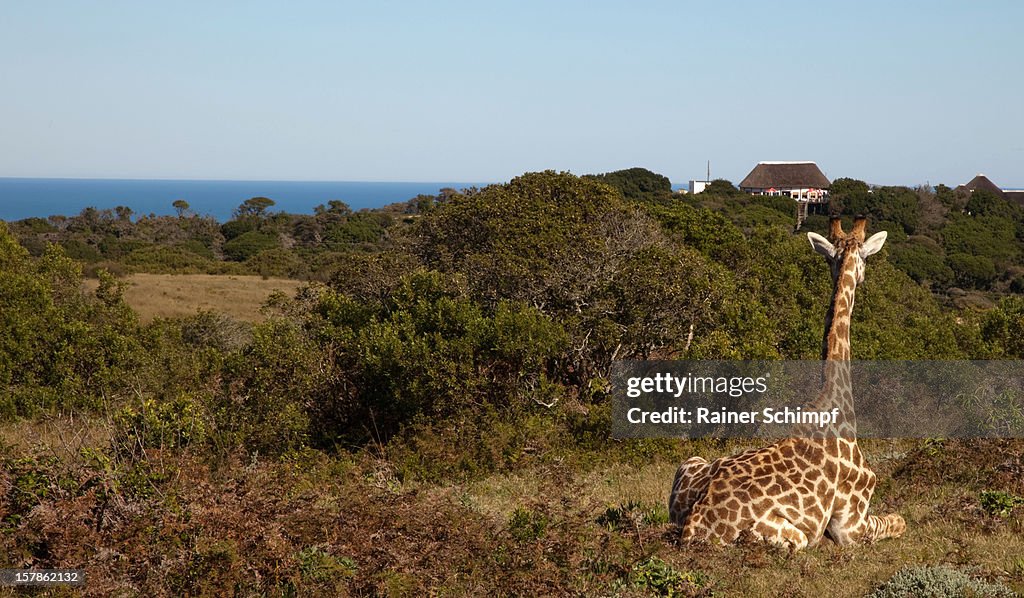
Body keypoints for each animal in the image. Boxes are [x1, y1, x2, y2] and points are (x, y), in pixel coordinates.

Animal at [671, 217, 905, 548]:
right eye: (865, 260)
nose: (861, 278)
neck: (838, 399)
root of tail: (693, 526)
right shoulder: (852, 525)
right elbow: (900, 520)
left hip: (689, 462)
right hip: (794, 537)